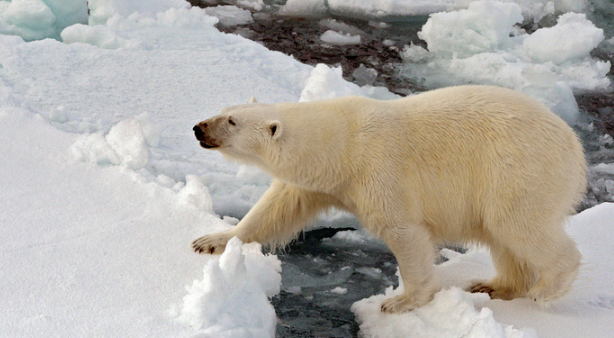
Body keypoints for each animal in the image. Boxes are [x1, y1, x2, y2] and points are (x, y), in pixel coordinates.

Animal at [191, 86, 588, 312]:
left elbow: (403, 230)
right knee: (503, 237)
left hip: (517, 169)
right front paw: (212, 240)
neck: (342, 145)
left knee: (517, 224)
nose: (198, 127)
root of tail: (574, 145)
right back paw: (494, 285)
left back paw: (545, 290)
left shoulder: (379, 170)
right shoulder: (320, 182)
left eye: (231, 121)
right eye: (225, 111)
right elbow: (275, 209)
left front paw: (400, 301)